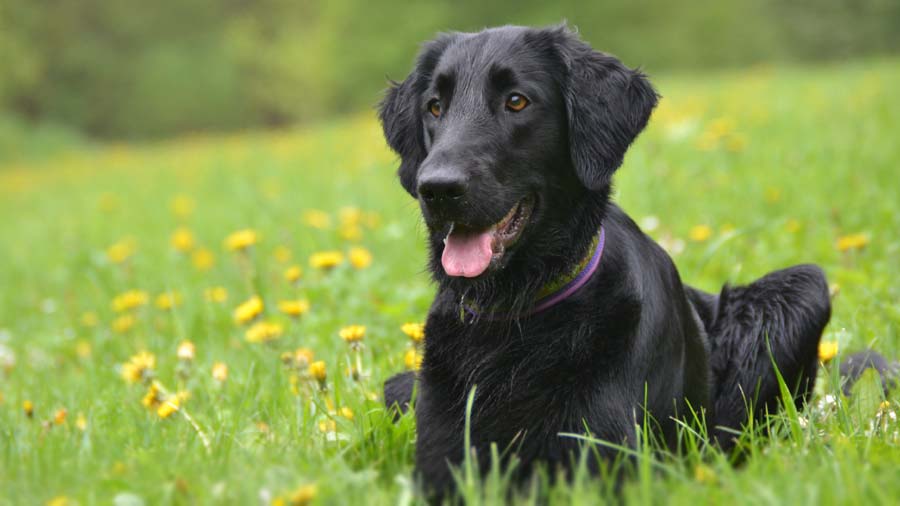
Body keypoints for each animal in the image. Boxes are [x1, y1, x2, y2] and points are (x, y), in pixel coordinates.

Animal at [378, 25, 828, 496]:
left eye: (516, 101)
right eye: (435, 107)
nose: (437, 188)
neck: (514, 315)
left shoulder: (601, 465)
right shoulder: (439, 463)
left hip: (803, 287)